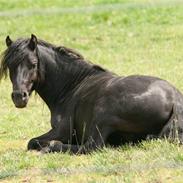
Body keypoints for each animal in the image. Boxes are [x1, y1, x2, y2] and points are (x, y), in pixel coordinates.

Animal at [0, 34, 183, 153]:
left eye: (33, 63)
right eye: (10, 66)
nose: (19, 97)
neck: (71, 87)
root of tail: (175, 99)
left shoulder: (62, 131)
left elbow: (32, 142)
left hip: (102, 116)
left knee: (91, 147)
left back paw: (52, 147)